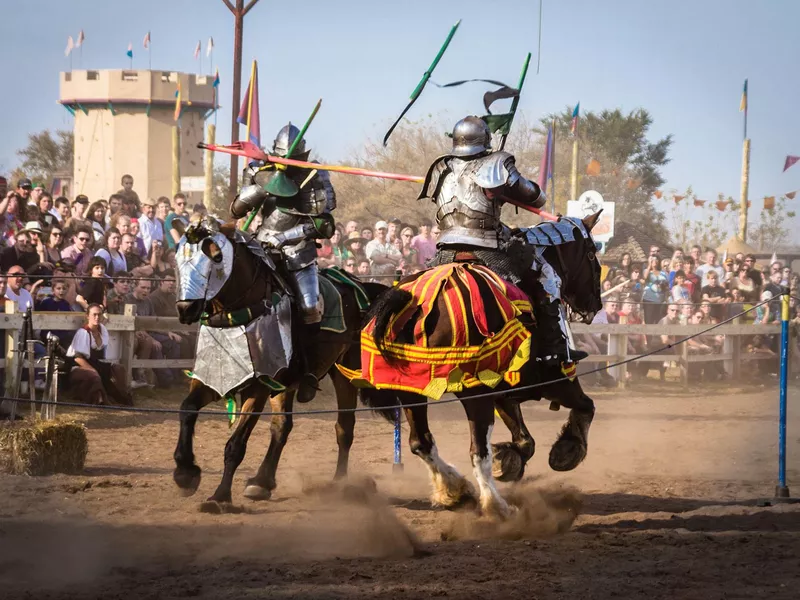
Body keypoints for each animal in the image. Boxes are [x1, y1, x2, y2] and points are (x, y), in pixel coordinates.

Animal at [356, 213, 600, 516]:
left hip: (412, 391)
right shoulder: (555, 381)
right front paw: (567, 450)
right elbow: (586, 406)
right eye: (591, 254)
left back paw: (455, 490)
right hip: (474, 393)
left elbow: (525, 439)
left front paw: (507, 460)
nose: (594, 305)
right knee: (476, 452)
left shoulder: (504, 388)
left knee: (421, 443)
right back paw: (496, 506)